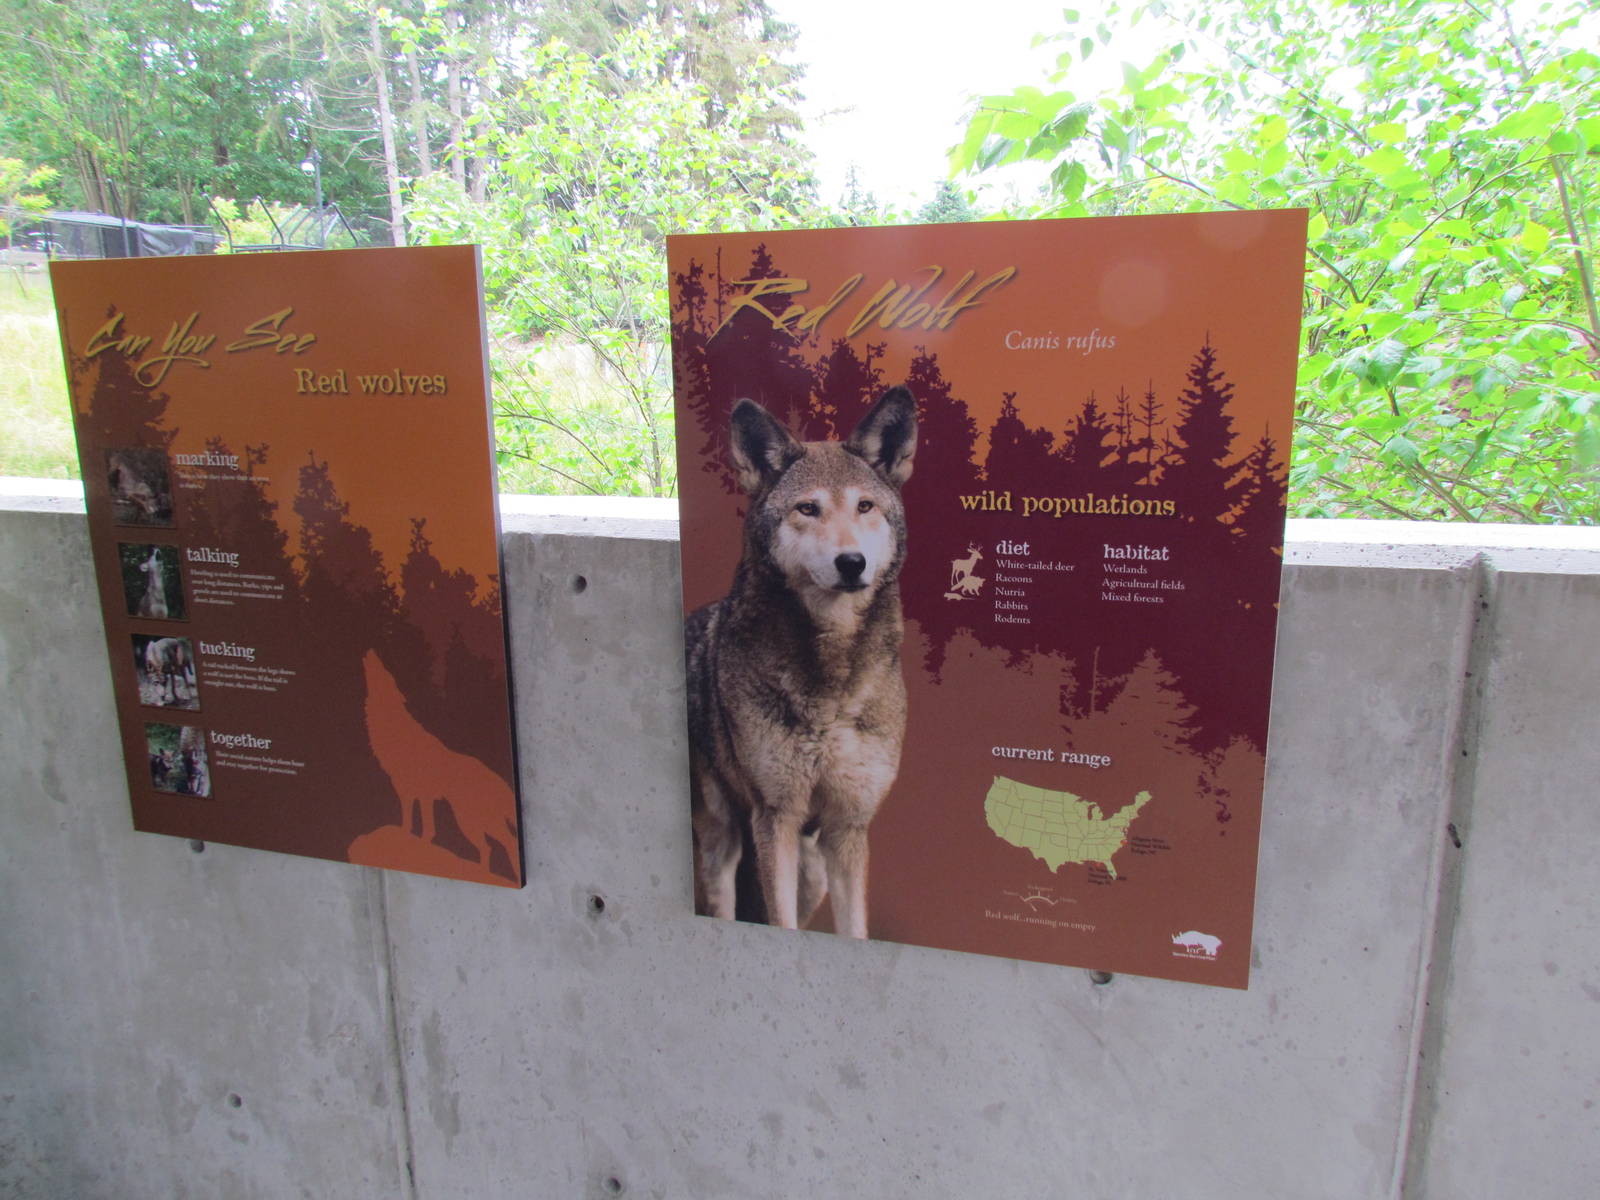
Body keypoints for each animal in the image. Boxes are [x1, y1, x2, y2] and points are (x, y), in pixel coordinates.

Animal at [685, 386, 918, 939]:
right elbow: (781, 926)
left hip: (813, 871)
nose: (851, 563)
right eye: (808, 509)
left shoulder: (848, 826)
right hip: (724, 839)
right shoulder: (777, 817)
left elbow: (854, 930)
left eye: (865, 506)